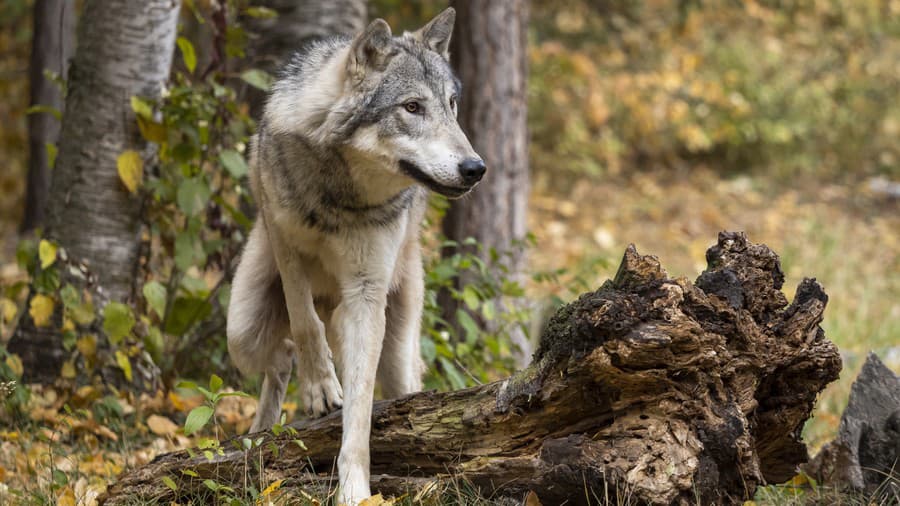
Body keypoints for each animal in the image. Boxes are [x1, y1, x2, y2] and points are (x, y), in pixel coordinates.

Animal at [225, 8, 486, 506]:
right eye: (412, 107)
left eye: (451, 105)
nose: (475, 169)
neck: (338, 194)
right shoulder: (285, 246)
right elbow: (304, 322)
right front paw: (320, 388)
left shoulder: (366, 294)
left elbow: (360, 415)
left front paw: (355, 489)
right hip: (241, 329)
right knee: (281, 354)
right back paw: (261, 431)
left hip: (395, 349)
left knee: (396, 383)